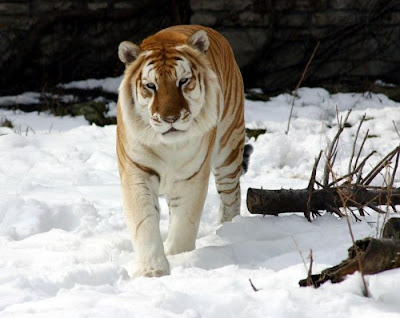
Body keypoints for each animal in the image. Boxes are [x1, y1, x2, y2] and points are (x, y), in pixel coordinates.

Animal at [115, 26, 247, 278]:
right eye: (151, 86)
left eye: (183, 81)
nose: (170, 118)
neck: (168, 146)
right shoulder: (137, 172)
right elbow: (144, 222)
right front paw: (152, 271)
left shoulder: (192, 176)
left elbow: (184, 223)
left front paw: (178, 258)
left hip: (229, 148)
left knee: (231, 193)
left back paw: (230, 228)